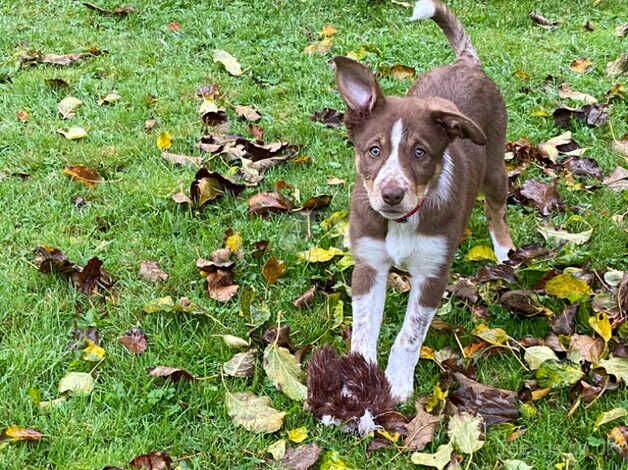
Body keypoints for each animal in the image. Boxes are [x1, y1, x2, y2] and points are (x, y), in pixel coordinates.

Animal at [336, 0, 512, 404]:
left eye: (420, 153)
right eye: (373, 150)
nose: (391, 194)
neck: (404, 222)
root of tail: (466, 64)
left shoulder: (432, 275)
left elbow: (409, 334)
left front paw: (398, 383)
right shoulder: (368, 265)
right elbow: (363, 328)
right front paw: (358, 382)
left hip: (495, 167)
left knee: (496, 208)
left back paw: (504, 251)